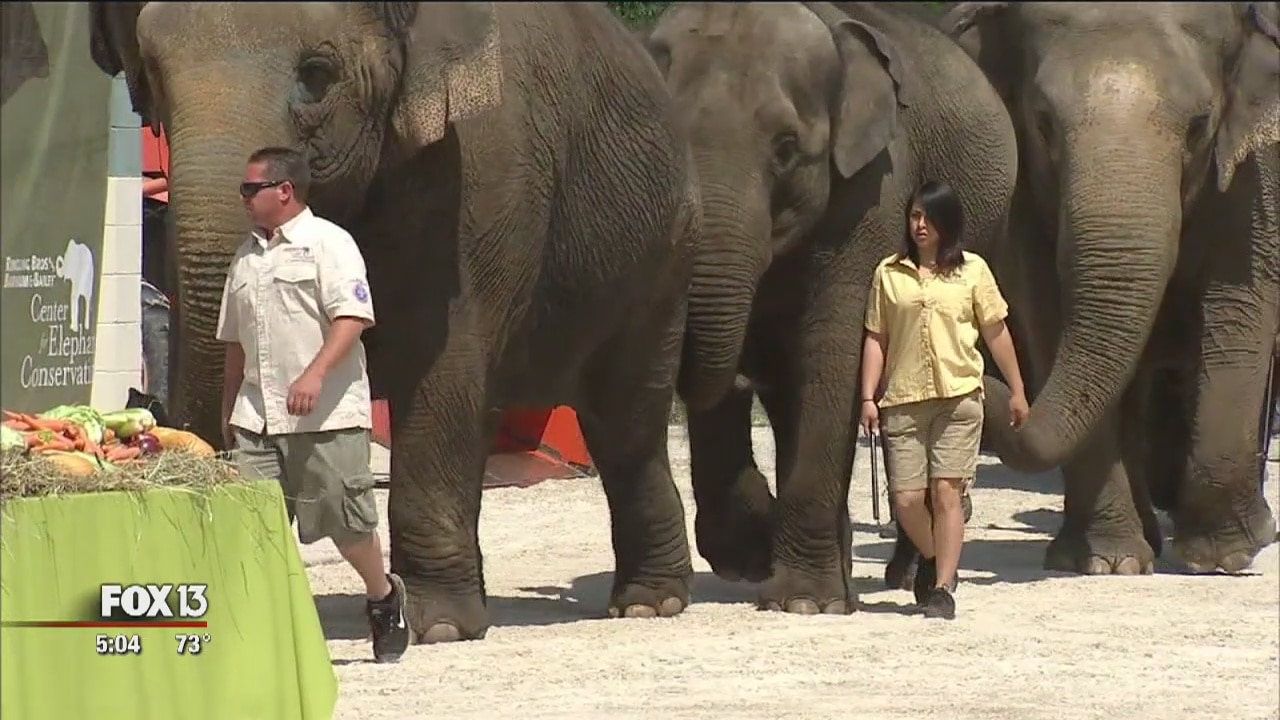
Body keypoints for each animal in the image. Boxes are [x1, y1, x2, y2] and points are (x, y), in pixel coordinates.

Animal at [89, 2, 706, 642]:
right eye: (152, 73)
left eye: (317, 74)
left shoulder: (484, 170)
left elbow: (444, 364)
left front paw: (439, 626)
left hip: (666, 255)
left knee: (626, 420)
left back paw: (648, 603)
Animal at [643, 2, 1018, 612]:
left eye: (786, 149)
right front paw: (756, 557)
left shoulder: (874, 187)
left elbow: (836, 350)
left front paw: (802, 602)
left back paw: (915, 579)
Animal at [933, 2, 1280, 574]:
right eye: (1043, 122)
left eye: (1200, 125)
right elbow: (1048, 308)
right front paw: (1104, 561)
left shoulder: (1260, 168)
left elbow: (1238, 301)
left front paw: (1220, 557)